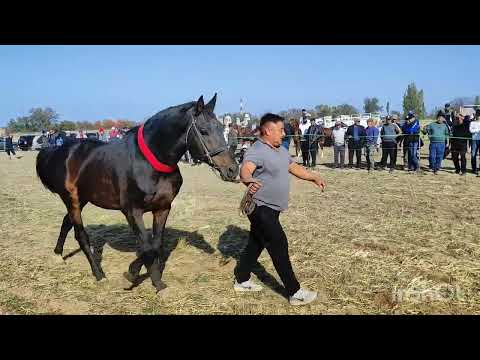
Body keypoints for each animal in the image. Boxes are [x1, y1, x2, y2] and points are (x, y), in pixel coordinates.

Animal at [36, 94, 239, 292]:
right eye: (203, 130)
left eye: (222, 128)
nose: (232, 169)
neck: (149, 162)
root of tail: (58, 150)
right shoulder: (132, 211)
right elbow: (147, 247)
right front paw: (134, 275)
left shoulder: (163, 208)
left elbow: (155, 245)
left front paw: (155, 282)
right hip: (72, 199)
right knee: (81, 236)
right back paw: (99, 274)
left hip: (83, 199)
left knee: (66, 223)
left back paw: (58, 254)